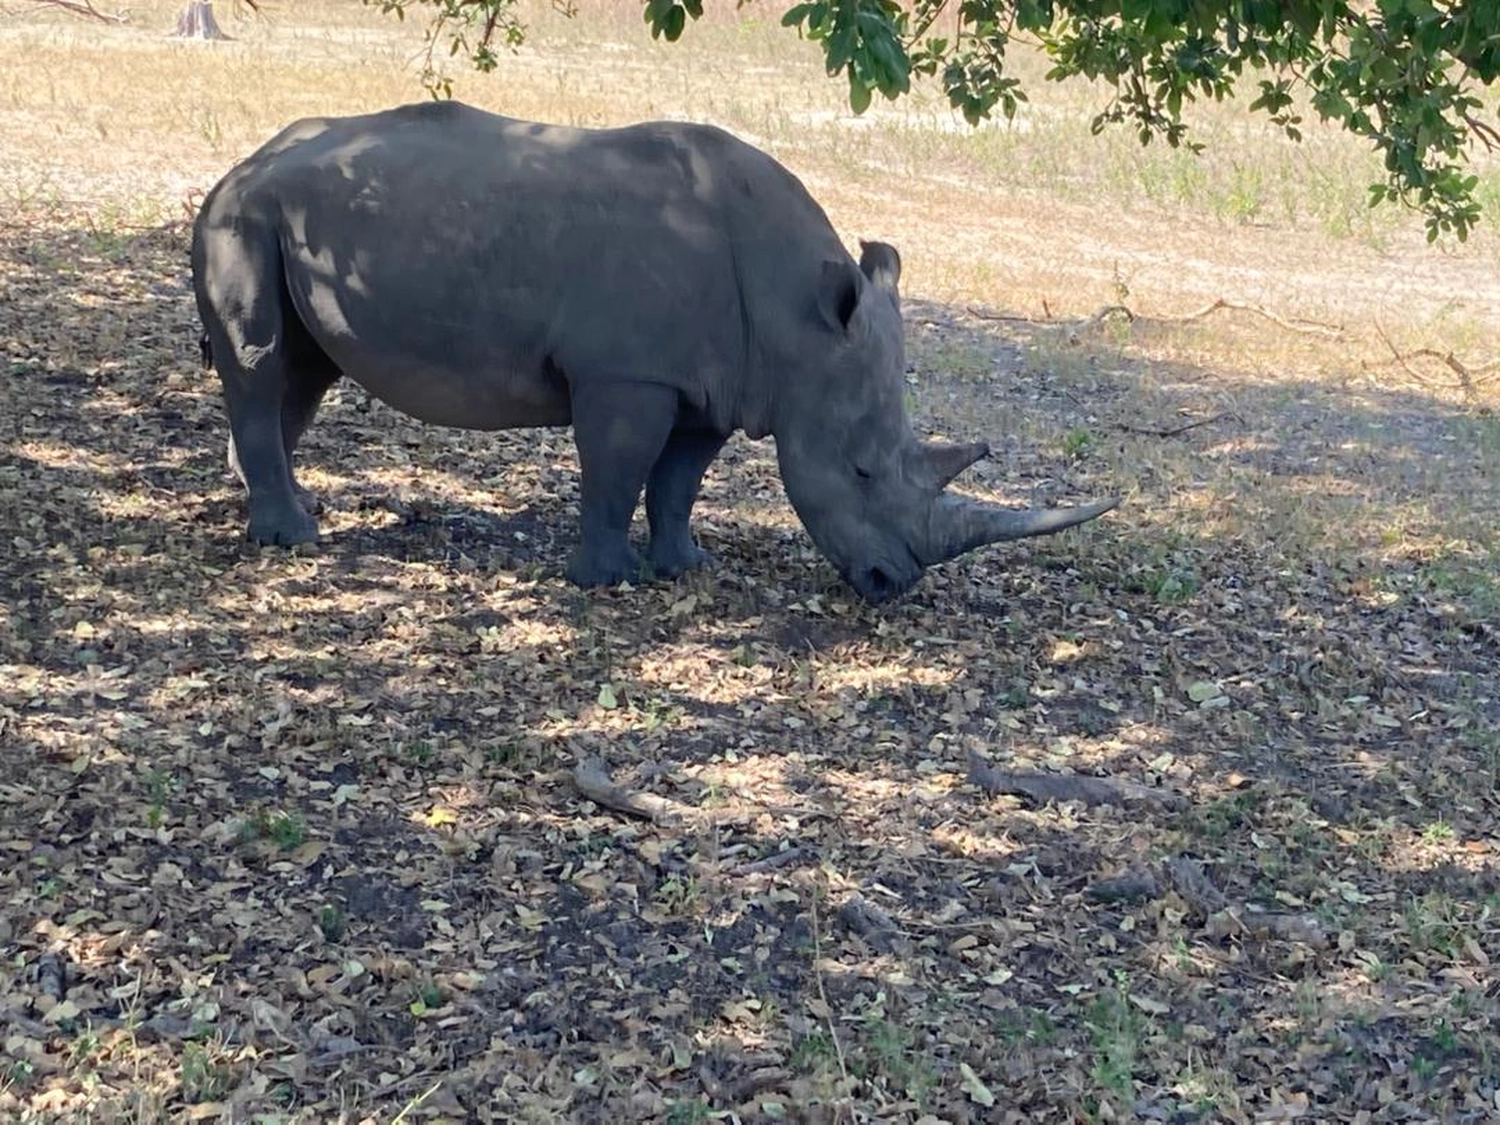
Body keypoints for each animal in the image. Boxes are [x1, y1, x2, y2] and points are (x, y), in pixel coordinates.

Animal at [191, 101, 1116, 602]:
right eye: (858, 471)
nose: (893, 586)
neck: (801, 318)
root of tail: (243, 160)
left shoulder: (720, 383)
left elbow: (679, 479)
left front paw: (686, 566)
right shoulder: (628, 373)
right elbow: (619, 467)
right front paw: (607, 581)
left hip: (283, 216)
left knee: (307, 369)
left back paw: (278, 507)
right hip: (242, 215)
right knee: (264, 361)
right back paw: (293, 539)